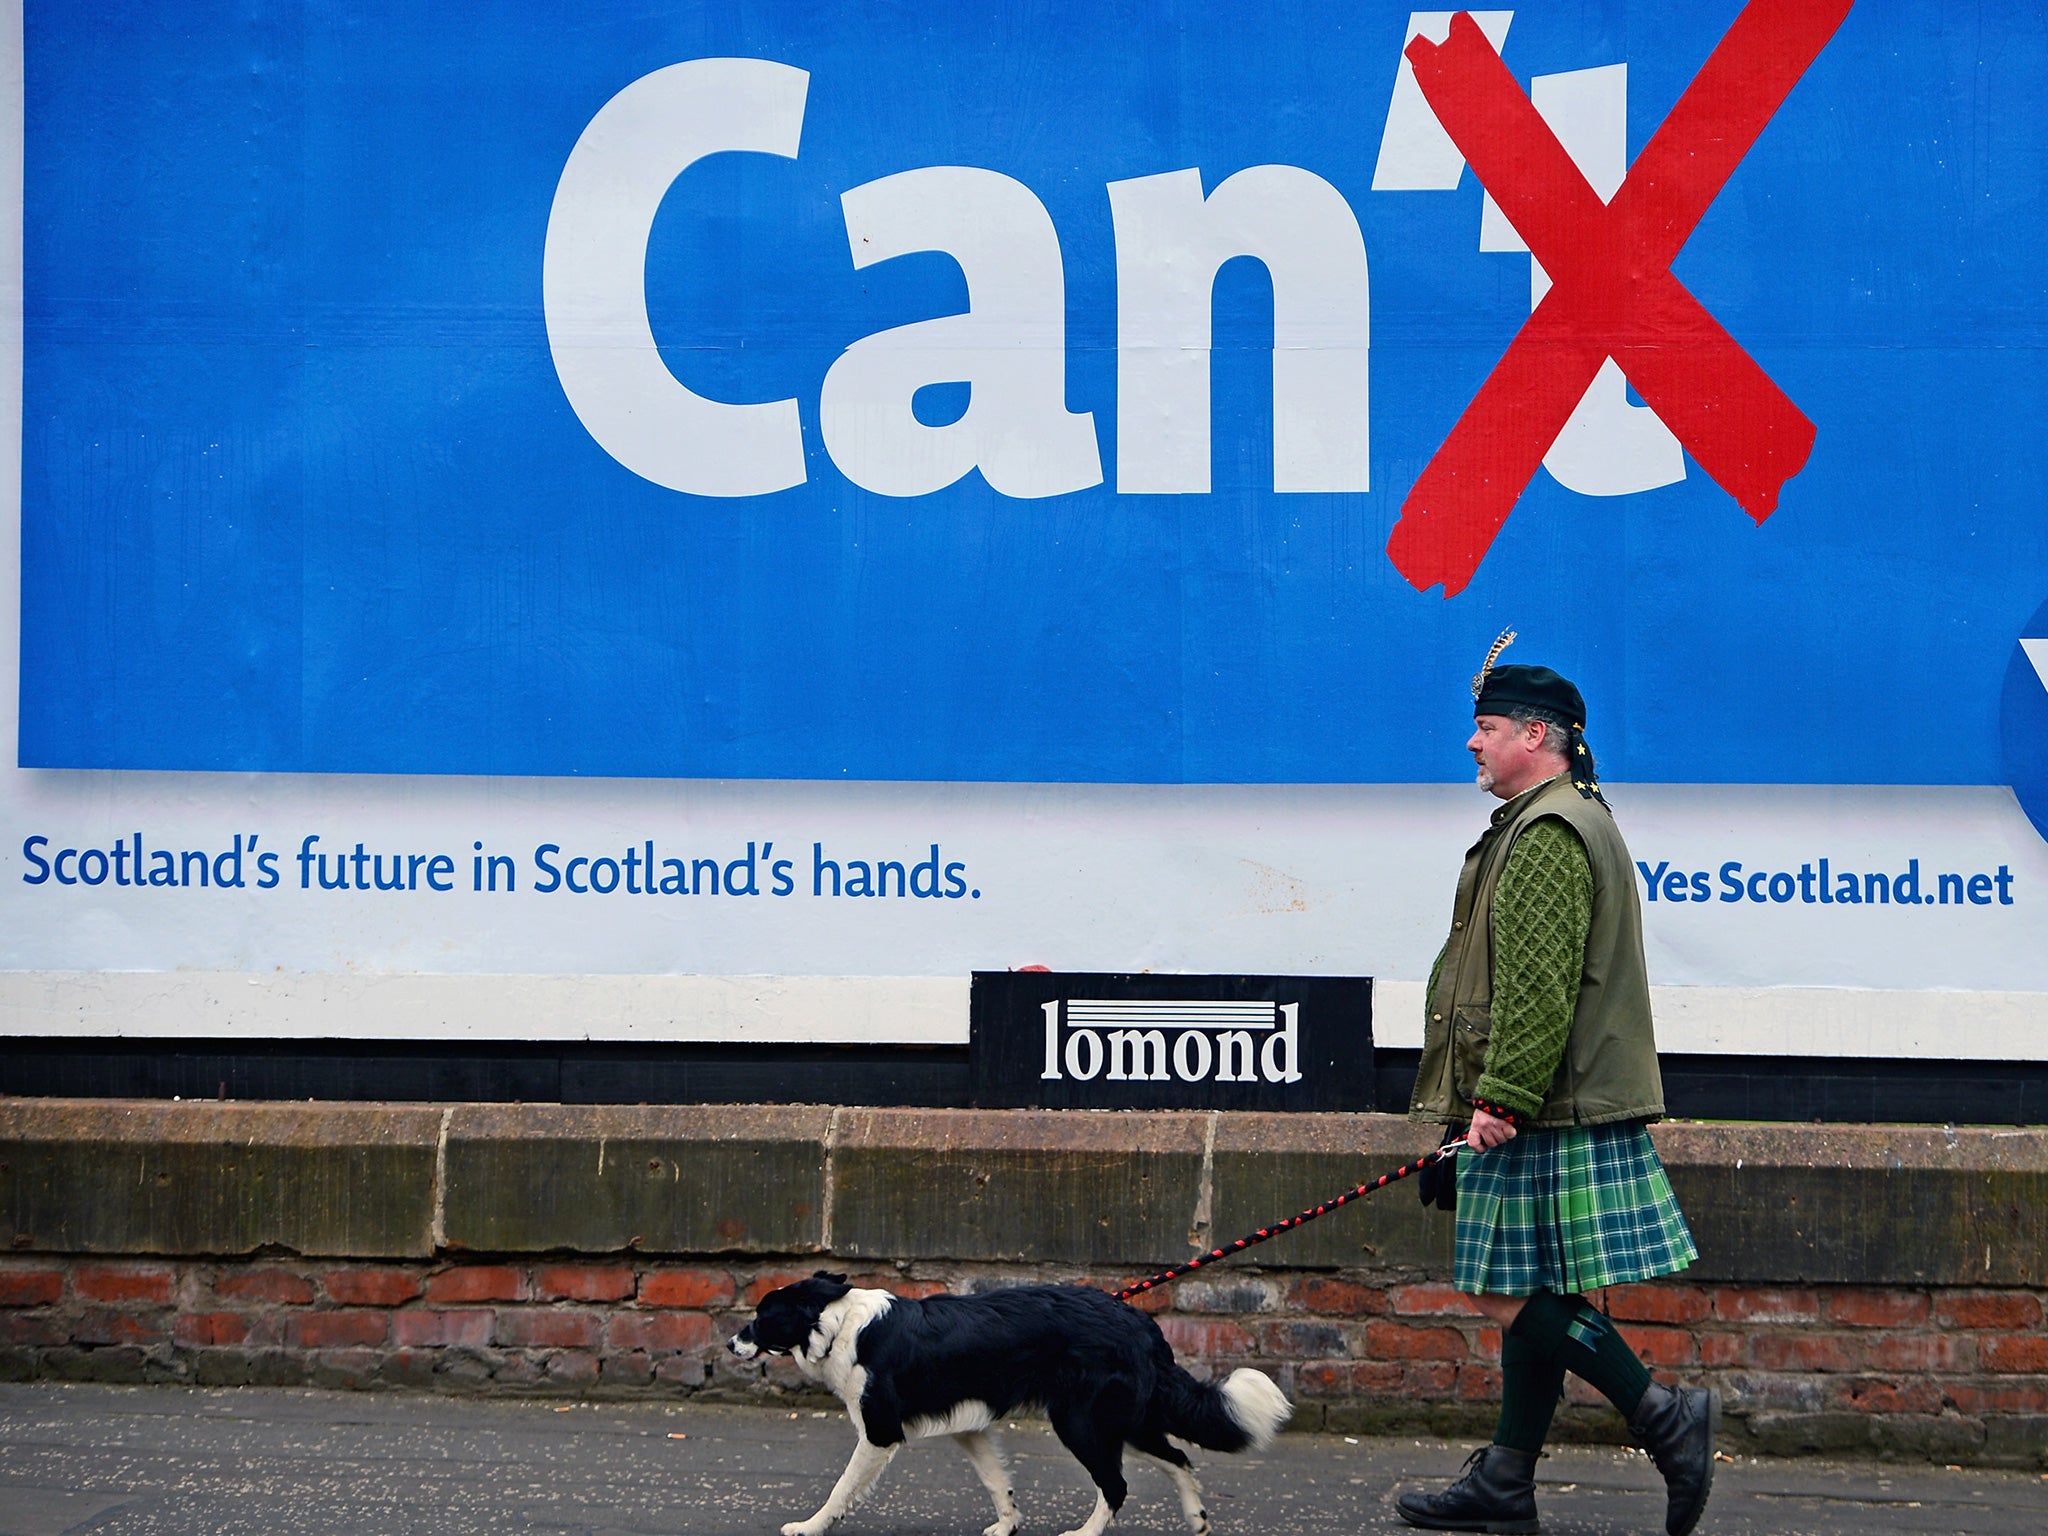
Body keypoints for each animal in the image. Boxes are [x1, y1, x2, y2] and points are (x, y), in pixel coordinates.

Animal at [729, 1277, 1286, 1536]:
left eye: (761, 1316)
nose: (731, 1343)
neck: (839, 1323)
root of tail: (1141, 1323)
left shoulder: (880, 1431)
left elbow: (841, 1488)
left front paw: (810, 1526)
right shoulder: (969, 1425)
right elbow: (997, 1480)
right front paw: (1008, 1524)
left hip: (1081, 1422)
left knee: (1118, 1484)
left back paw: (1086, 1533)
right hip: (1128, 1420)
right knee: (1179, 1459)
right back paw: (1198, 1520)